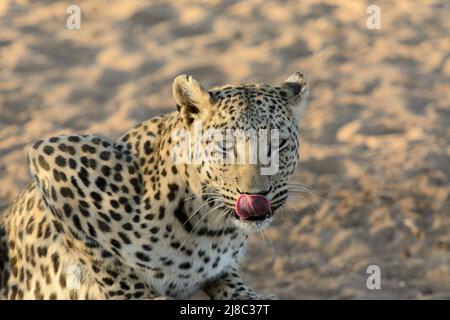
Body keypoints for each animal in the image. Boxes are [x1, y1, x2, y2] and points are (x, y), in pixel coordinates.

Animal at [0, 71, 308, 298]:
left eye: (278, 144)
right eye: (225, 147)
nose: (256, 195)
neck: (213, 226)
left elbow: (227, 277)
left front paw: (245, 294)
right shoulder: (51, 156)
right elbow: (106, 263)